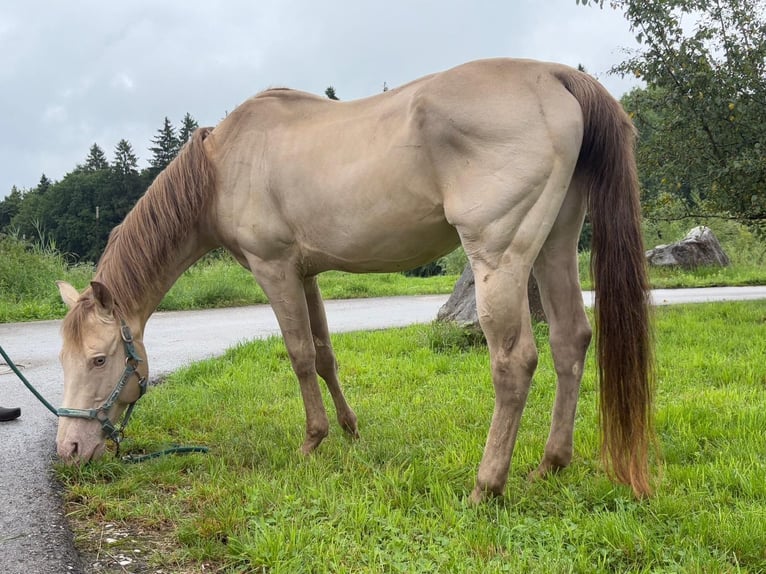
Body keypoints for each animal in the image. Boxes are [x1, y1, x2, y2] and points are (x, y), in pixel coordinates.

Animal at [56, 58, 654, 502]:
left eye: (100, 359)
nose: (69, 452)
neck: (223, 164)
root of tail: (555, 74)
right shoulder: (306, 274)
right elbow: (324, 354)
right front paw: (349, 431)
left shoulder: (275, 269)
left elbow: (298, 354)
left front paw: (311, 442)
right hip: (554, 245)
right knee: (570, 340)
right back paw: (551, 464)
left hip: (500, 257)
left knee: (515, 361)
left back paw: (487, 485)